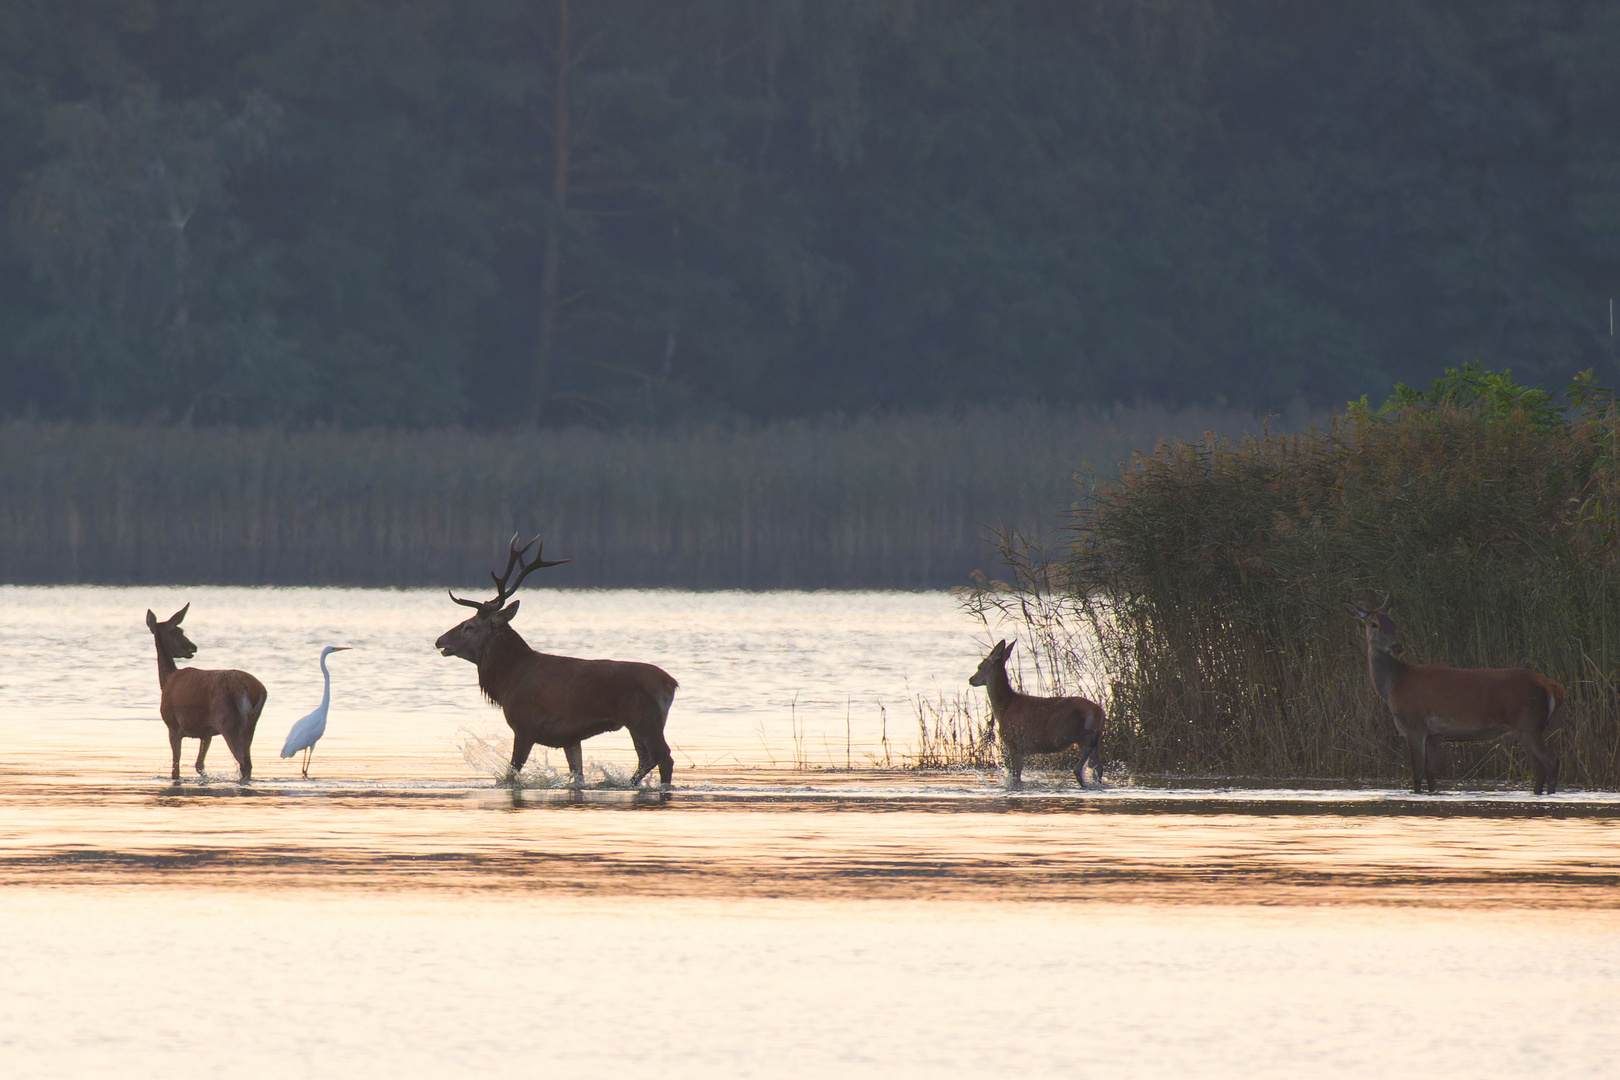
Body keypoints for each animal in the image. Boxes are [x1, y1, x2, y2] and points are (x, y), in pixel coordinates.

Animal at [145, 605, 265, 780]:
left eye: (178, 630)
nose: (192, 647)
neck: (166, 681)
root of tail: (256, 690)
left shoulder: (173, 726)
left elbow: (176, 769)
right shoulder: (206, 732)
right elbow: (199, 765)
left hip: (228, 723)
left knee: (244, 763)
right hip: (251, 725)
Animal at [430, 537, 677, 786]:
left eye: (468, 626)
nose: (440, 640)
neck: (507, 679)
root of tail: (672, 683)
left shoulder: (524, 727)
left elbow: (511, 775)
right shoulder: (570, 737)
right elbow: (577, 774)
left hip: (645, 719)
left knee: (663, 757)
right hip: (639, 723)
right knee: (647, 759)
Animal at [965, 637, 1108, 790]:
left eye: (980, 666)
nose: (971, 679)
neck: (1003, 707)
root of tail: (1099, 711)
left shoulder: (1013, 743)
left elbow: (1015, 777)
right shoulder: (1019, 748)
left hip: (1064, 732)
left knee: (1090, 747)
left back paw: (1078, 773)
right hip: (1079, 739)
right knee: (1097, 766)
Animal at [1347, 592, 1561, 793]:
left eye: (1393, 623)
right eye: (1374, 624)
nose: (1396, 646)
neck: (1394, 685)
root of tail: (1550, 686)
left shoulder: (1415, 726)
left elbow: (1417, 775)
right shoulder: (1434, 735)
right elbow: (1431, 775)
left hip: (1528, 724)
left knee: (1549, 763)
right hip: (1531, 727)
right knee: (1542, 767)